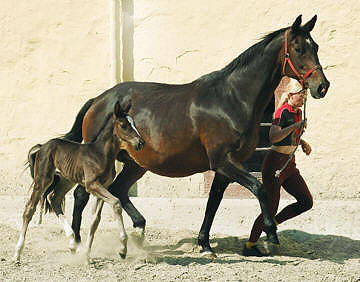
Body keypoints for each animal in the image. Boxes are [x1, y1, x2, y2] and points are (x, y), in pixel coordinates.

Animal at [14, 102, 143, 264]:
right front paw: (122, 250)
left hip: (66, 180)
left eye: (134, 124)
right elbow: (116, 203)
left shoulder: (103, 187)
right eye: (123, 125)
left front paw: (87, 255)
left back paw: (72, 243)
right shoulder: (92, 185)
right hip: (43, 180)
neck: (101, 154)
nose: (141, 143)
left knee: (54, 199)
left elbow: (95, 220)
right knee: (29, 209)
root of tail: (42, 146)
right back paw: (17, 254)